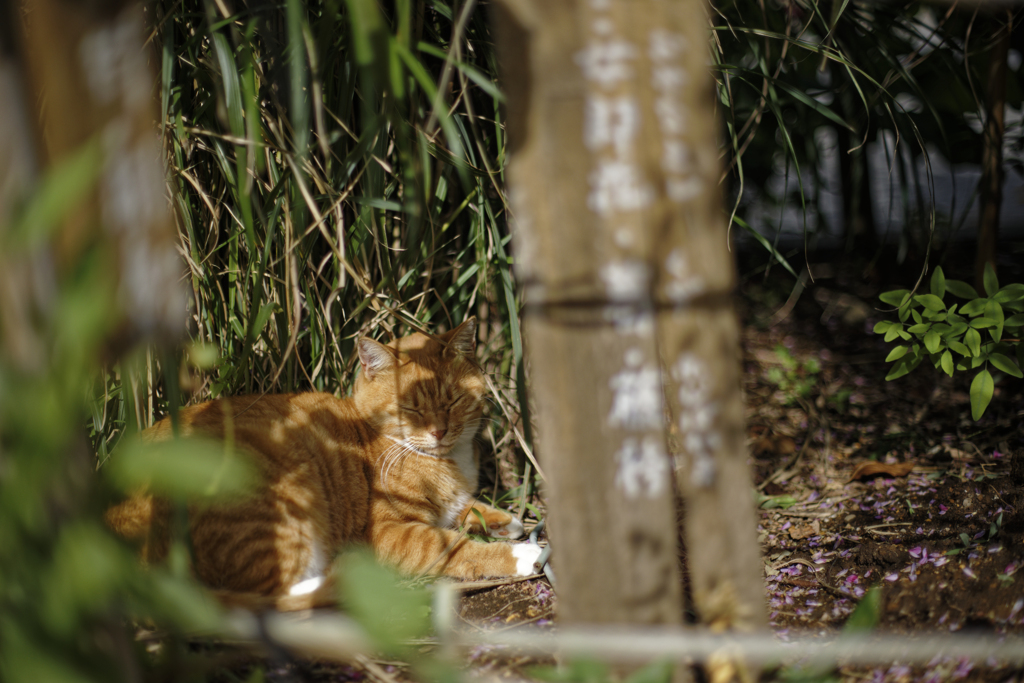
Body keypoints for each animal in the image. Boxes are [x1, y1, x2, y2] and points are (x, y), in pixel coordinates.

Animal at [103, 317, 540, 610]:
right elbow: (452, 545)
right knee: (271, 598)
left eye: (452, 401)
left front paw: (503, 520)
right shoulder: (388, 533)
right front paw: (520, 554)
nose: (439, 431)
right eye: (412, 408)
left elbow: (467, 508)